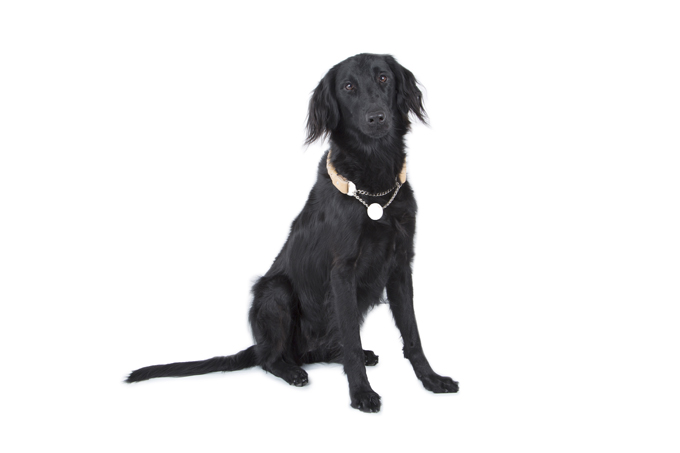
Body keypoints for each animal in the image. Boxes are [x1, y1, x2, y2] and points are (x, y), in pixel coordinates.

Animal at [126, 53, 459, 412]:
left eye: (383, 78)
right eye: (348, 86)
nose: (376, 118)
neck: (374, 185)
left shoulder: (400, 266)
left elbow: (412, 335)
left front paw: (432, 379)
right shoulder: (342, 272)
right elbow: (351, 341)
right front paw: (361, 393)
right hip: (275, 293)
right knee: (271, 358)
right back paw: (291, 371)